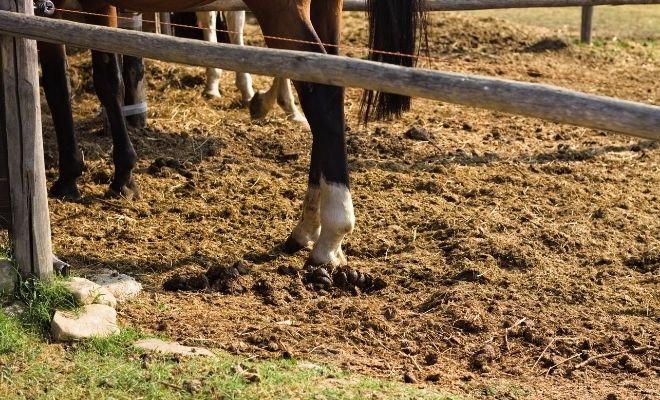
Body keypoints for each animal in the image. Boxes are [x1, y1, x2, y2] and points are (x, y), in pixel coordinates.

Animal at [40, 0, 428, 268]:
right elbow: (86, 82)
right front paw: (99, 173)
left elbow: (75, 83)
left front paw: (84, 177)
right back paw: (306, 226)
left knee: (323, 95)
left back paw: (331, 235)